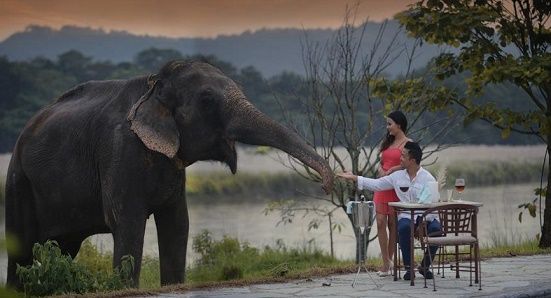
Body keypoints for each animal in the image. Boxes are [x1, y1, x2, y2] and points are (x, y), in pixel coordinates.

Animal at [4, 60, 334, 288]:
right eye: (207, 100)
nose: (327, 186)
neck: (153, 86)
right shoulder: (118, 151)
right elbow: (127, 222)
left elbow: (177, 223)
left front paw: (174, 285)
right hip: (18, 181)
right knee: (20, 247)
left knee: (63, 247)